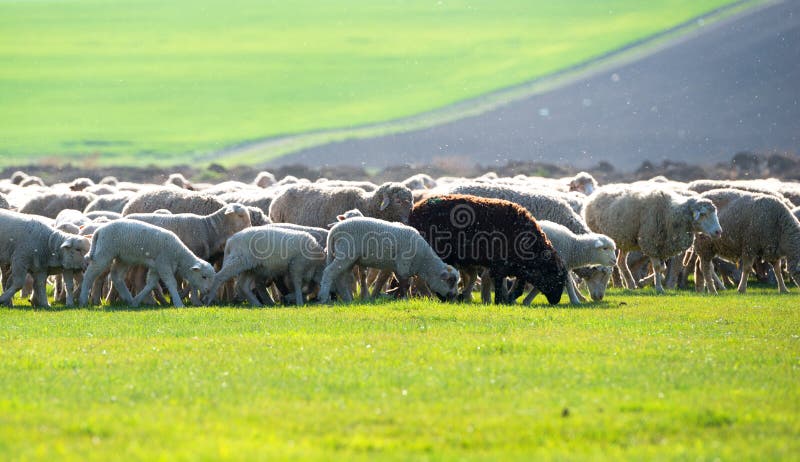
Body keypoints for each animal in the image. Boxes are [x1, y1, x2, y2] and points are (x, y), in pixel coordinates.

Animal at [79, 219, 216, 306]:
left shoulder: (156, 267)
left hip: (123, 258)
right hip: (104, 252)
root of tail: (98, 231)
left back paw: (130, 300)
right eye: (204, 276)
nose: (208, 290)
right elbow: (171, 283)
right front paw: (178, 303)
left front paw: (137, 300)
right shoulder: (163, 263)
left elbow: (150, 284)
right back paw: (83, 300)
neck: (179, 255)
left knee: (116, 276)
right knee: (90, 274)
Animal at [318, 217, 460, 304]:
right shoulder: (403, 264)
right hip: (345, 254)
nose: (454, 297)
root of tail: (333, 231)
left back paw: (348, 299)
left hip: (348, 258)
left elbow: (408, 284)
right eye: (451, 281)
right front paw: (405, 299)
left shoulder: (399, 267)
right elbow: (405, 284)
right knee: (330, 272)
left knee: (341, 277)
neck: (423, 262)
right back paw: (324, 297)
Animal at [410, 194, 564, 304]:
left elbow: (517, 288)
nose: (556, 300)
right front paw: (499, 301)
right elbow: (499, 285)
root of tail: (416, 208)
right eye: (555, 277)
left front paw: (507, 299)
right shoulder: (500, 266)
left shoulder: (515, 268)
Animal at [580, 184, 724, 292]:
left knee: (621, 262)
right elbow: (657, 267)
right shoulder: (651, 243)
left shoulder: (662, 246)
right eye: (703, 214)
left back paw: (631, 284)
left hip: (625, 240)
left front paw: (644, 282)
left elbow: (663, 268)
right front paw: (659, 288)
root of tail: (595, 194)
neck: (671, 215)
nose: (718, 232)